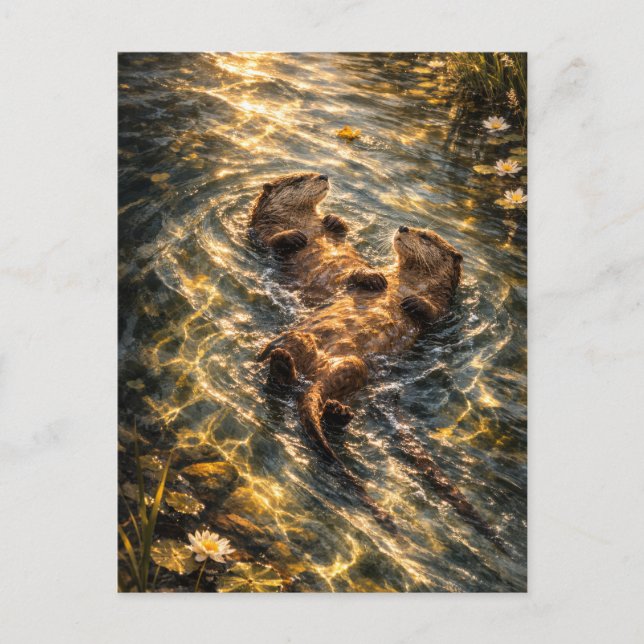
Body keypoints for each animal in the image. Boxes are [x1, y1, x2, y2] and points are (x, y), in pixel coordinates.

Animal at [250, 173, 387, 303]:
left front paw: (333, 219)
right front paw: (295, 236)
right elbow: (269, 240)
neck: (301, 221)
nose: (324, 176)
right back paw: (373, 278)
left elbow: (343, 229)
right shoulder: (263, 228)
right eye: (299, 178)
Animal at [259, 225, 505, 549]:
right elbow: (355, 277)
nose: (403, 227)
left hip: (353, 366)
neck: (408, 283)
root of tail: (313, 374)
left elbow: (434, 313)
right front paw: (372, 278)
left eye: (426, 236)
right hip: (308, 344)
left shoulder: (444, 309)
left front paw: (415, 304)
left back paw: (328, 404)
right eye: (413, 227)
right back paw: (282, 361)